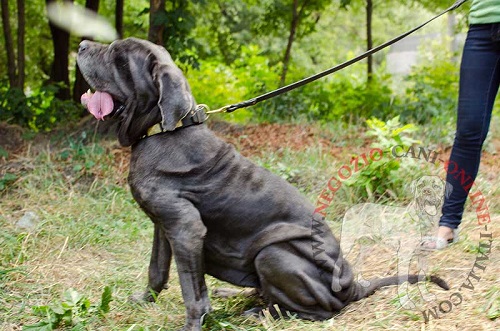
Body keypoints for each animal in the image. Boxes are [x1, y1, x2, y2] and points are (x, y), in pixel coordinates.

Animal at [77, 37, 450, 330]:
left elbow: (193, 293)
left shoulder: (185, 228)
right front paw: (144, 300)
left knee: (318, 310)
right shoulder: (163, 224)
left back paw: (260, 312)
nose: (80, 45)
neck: (164, 130)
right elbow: (157, 270)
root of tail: (352, 285)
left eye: (119, 57)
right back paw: (237, 295)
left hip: (273, 254)